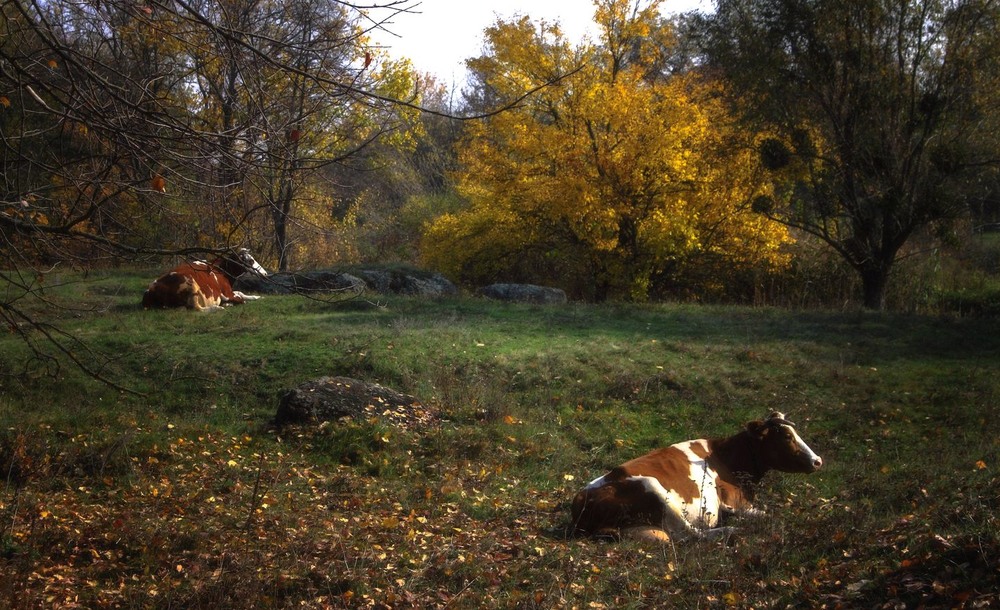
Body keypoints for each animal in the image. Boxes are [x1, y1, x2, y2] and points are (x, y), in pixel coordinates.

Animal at [572, 410, 820, 540]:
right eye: (786, 436)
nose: (818, 461)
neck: (727, 457)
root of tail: (581, 500)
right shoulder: (736, 503)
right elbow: (772, 515)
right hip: (653, 487)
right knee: (690, 534)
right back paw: (731, 531)